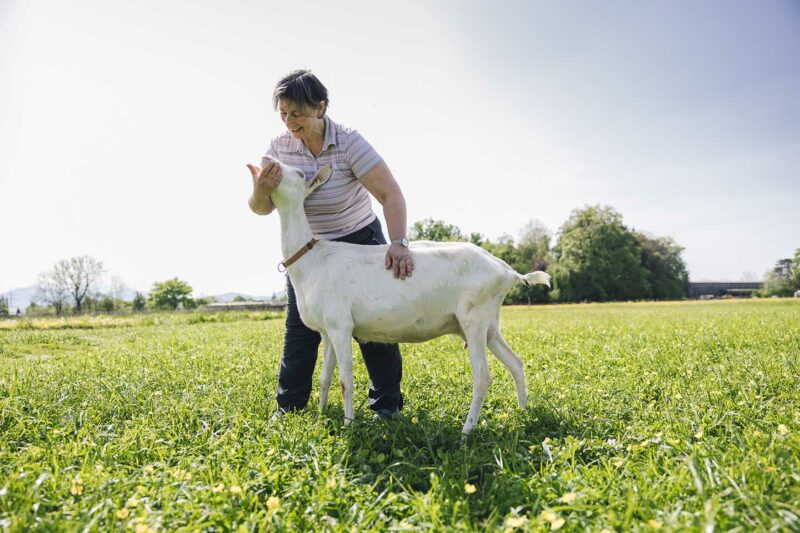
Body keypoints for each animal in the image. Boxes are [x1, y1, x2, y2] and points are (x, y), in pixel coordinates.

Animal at [262, 161, 552, 432]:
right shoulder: (327, 330)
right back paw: (523, 412)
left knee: (483, 377)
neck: (312, 259)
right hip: (489, 324)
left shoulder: (341, 326)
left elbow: (345, 381)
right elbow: (324, 378)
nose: (269, 164)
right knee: (516, 362)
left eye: (299, 173)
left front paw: (348, 424)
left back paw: (467, 431)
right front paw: (320, 419)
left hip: (474, 319)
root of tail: (507, 271)